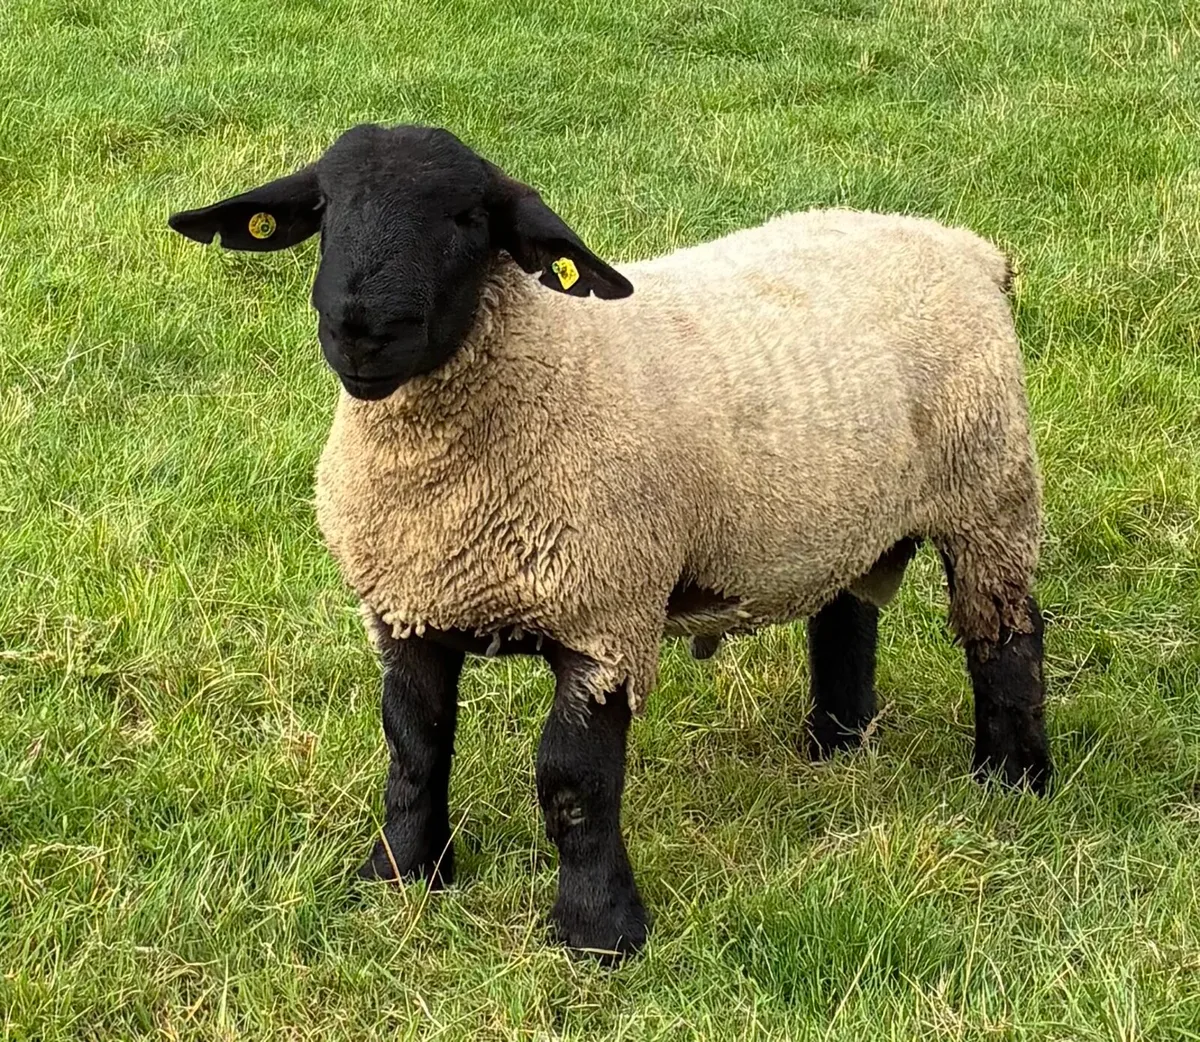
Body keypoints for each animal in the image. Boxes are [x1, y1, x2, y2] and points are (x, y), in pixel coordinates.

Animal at [168, 122, 1050, 964]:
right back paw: (834, 744)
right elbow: (413, 749)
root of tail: (962, 244)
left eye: (469, 218)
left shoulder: (607, 615)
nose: (360, 330)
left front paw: (599, 932)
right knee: (843, 613)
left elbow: (573, 783)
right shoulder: (406, 605)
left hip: (988, 490)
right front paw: (402, 877)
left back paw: (1013, 782)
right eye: (325, 207)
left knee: (1007, 637)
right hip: (838, 512)